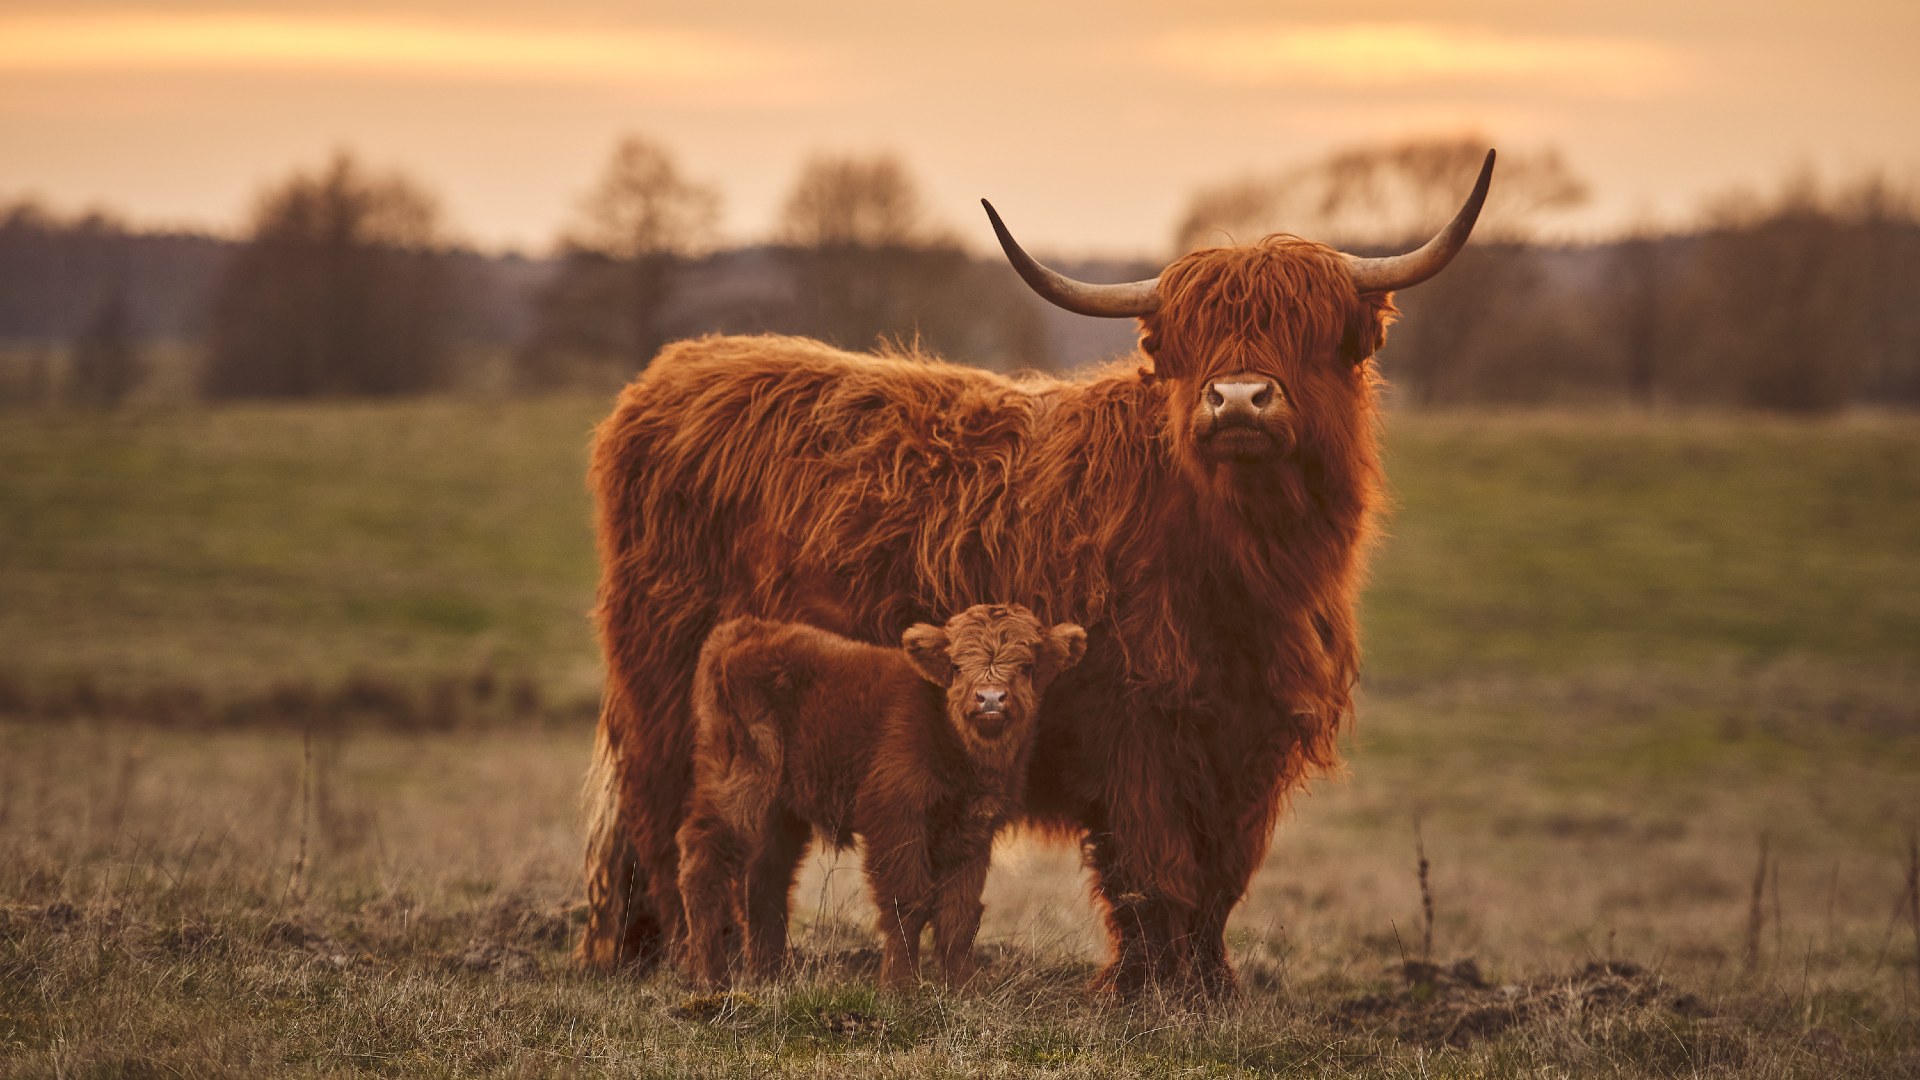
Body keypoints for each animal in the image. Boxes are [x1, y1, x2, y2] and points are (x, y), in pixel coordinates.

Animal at [676, 604, 1087, 989]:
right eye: (956, 666)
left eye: (1027, 666)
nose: (990, 699)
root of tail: (742, 631)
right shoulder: (896, 819)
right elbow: (908, 903)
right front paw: (901, 985)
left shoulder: (973, 829)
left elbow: (959, 913)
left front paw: (964, 987)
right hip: (739, 782)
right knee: (704, 861)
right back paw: (709, 977)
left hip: (780, 811)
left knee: (765, 878)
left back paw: (771, 975)